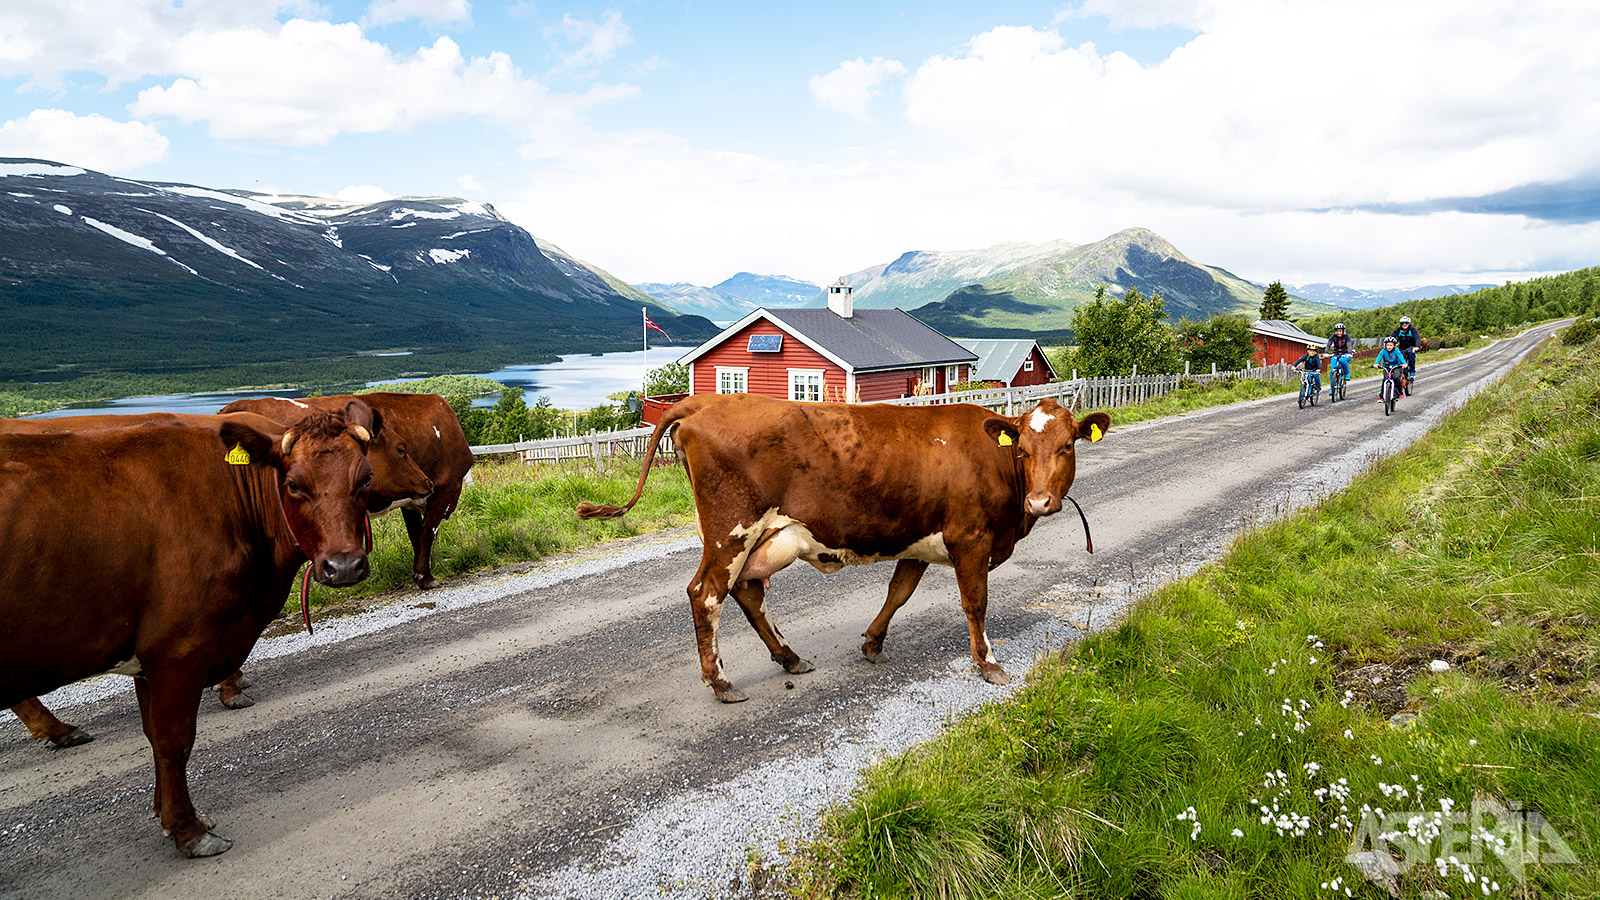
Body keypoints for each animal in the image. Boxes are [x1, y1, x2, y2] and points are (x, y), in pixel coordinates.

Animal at [0, 403, 377, 851]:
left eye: (366, 478)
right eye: (293, 485)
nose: (345, 566)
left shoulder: (149, 655)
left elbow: (152, 735)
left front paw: (163, 812)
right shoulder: (180, 646)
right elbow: (174, 739)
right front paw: (187, 828)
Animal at [219, 389, 470, 586]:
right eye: (401, 449)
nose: (427, 482)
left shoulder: (411, 499)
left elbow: (415, 535)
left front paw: (420, 575)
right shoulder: (447, 487)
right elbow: (427, 534)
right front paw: (426, 577)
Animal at [579, 392, 1113, 701]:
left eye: (1067, 446)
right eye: (1022, 449)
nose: (1040, 500)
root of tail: (706, 401)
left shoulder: (916, 540)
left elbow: (899, 592)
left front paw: (873, 643)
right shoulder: (971, 540)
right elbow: (975, 603)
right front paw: (989, 664)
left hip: (761, 536)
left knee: (747, 591)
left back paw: (789, 657)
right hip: (731, 528)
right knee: (706, 593)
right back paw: (722, 683)